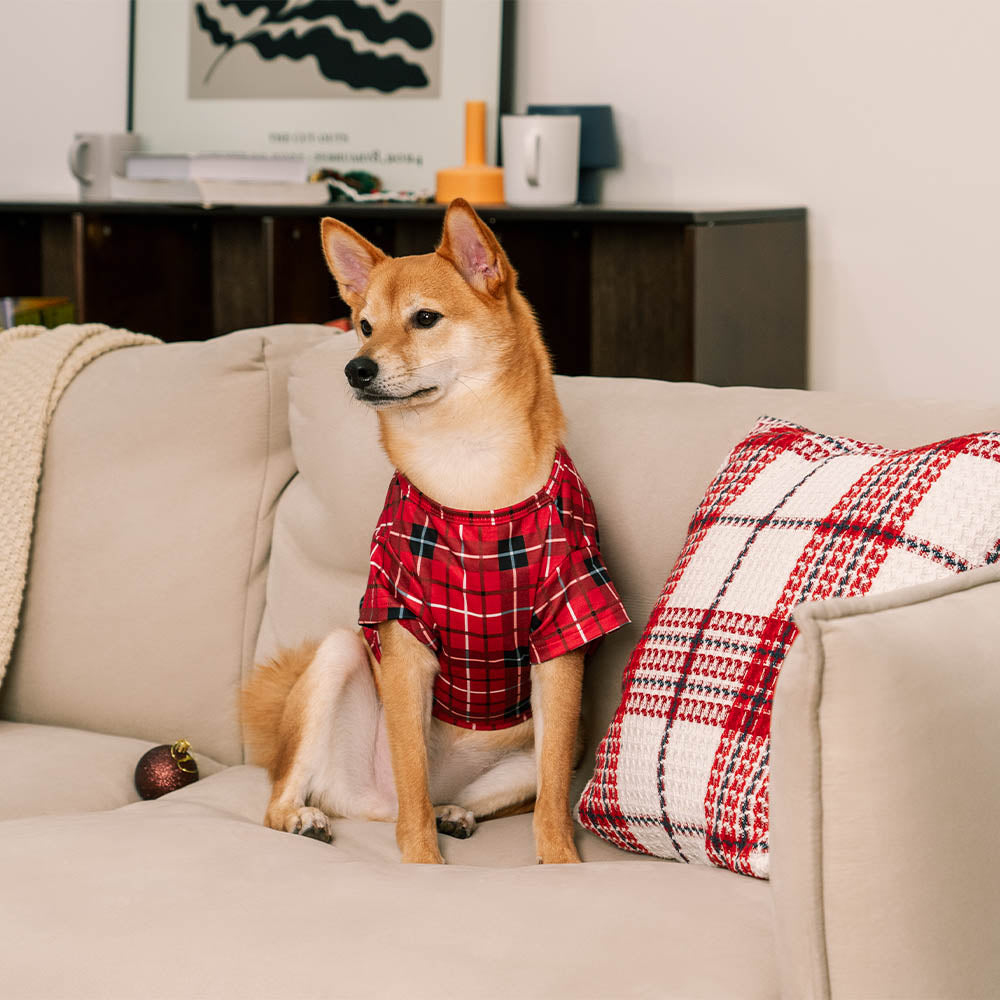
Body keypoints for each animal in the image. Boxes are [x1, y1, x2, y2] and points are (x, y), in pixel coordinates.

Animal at [241, 199, 624, 864]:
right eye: (364, 326)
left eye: (425, 319)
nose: (356, 368)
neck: (467, 471)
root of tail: (372, 803)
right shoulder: (402, 629)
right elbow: (412, 773)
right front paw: (421, 862)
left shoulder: (564, 630)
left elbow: (552, 795)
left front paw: (560, 862)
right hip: (339, 654)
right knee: (305, 794)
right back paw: (304, 818)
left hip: (561, 741)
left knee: (500, 788)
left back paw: (456, 812)